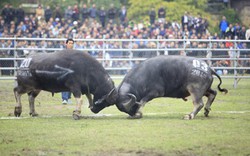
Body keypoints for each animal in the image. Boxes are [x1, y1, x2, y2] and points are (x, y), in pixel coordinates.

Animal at [91, 55, 229, 120]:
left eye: (132, 107)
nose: (133, 114)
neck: (143, 75)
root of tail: (209, 68)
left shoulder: (154, 92)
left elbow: (142, 101)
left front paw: (139, 112)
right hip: (205, 89)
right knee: (213, 93)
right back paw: (207, 110)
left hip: (195, 89)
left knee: (198, 103)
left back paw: (189, 116)